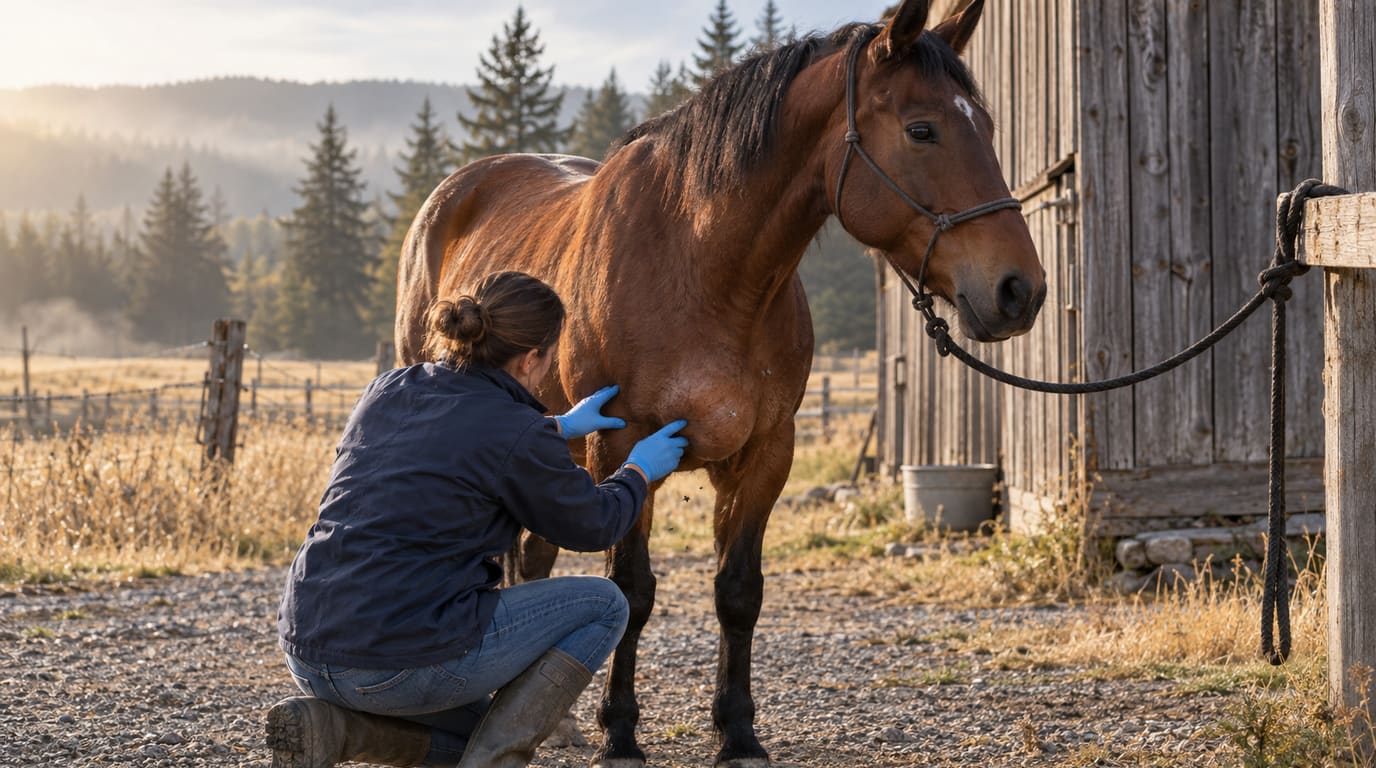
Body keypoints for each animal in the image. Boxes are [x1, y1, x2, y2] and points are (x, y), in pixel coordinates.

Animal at [394, 1, 1044, 765]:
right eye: (922, 129)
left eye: (989, 128)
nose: (1020, 290)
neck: (704, 269)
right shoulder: (623, 445)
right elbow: (631, 590)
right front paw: (621, 734)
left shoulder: (766, 452)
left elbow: (738, 591)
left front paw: (737, 731)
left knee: (535, 555)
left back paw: (556, 720)